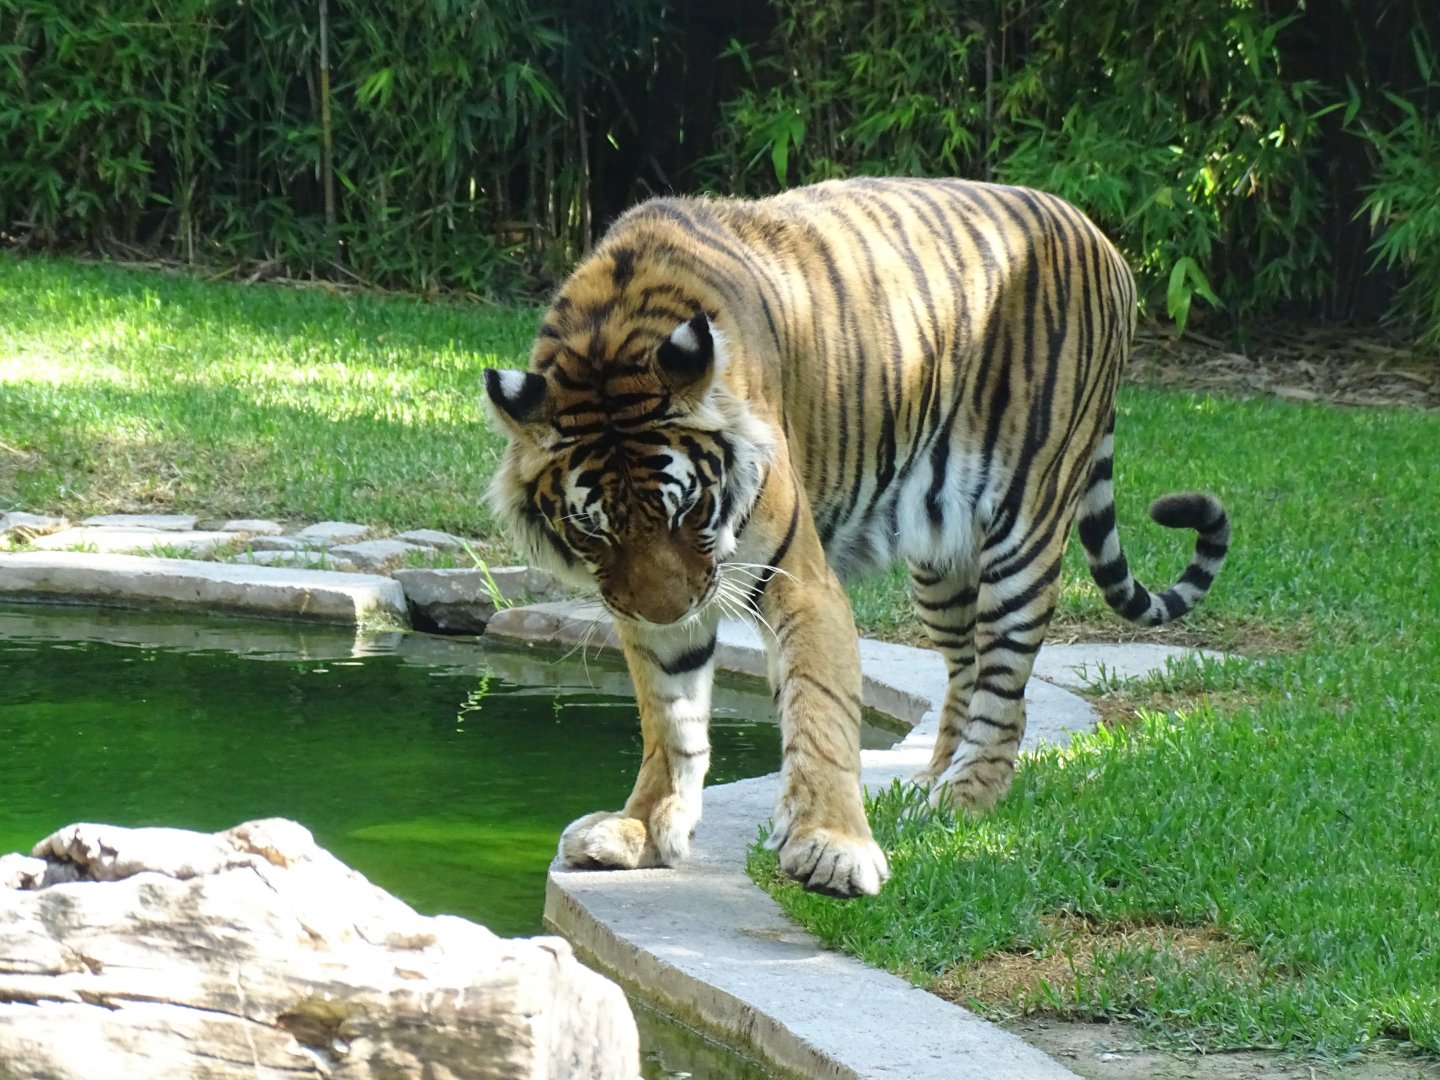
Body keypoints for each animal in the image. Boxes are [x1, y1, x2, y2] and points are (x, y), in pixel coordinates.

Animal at [484, 177, 1229, 899]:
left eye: (687, 508)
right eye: (593, 527)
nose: (670, 610)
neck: (610, 334)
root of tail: (1099, 235)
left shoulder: (798, 580)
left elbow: (820, 710)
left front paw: (833, 846)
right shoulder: (648, 606)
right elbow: (670, 717)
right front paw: (640, 828)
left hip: (1027, 524)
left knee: (1004, 688)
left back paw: (964, 799)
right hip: (939, 559)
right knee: (966, 667)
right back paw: (927, 786)